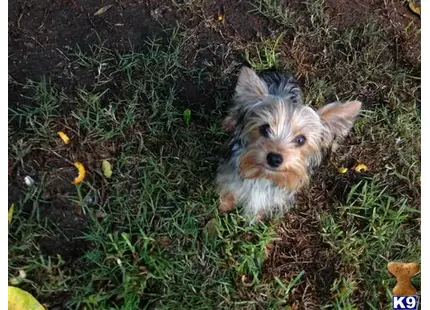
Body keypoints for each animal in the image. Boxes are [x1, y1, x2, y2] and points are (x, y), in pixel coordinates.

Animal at [217, 66, 362, 220]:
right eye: (265, 128)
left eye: (301, 139)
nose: (274, 158)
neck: (265, 176)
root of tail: (278, 72)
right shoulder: (229, 177)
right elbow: (229, 192)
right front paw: (224, 205)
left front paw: (258, 217)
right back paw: (229, 122)